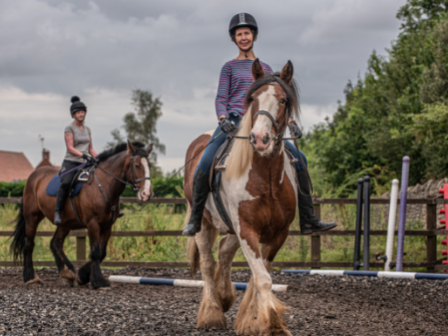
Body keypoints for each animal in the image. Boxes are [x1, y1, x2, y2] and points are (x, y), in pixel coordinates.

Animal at [10, 141, 154, 288]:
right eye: (137, 165)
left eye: (149, 165)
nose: (146, 194)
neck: (103, 185)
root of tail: (34, 176)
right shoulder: (93, 224)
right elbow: (95, 253)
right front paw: (98, 281)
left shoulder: (107, 226)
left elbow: (102, 253)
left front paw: (83, 276)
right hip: (32, 217)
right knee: (29, 244)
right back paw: (30, 277)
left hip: (64, 224)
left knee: (55, 243)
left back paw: (67, 273)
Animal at [184, 59, 300, 334]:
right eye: (253, 99)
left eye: (283, 100)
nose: (260, 139)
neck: (266, 177)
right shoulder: (246, 229)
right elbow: (262, 278)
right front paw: (272, 323)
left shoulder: (278, 233)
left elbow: (261, 275)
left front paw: (253, 318)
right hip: (203, 222)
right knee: (207, 262)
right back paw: (212, 313)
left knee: (225, 250)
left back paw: (225, 297)